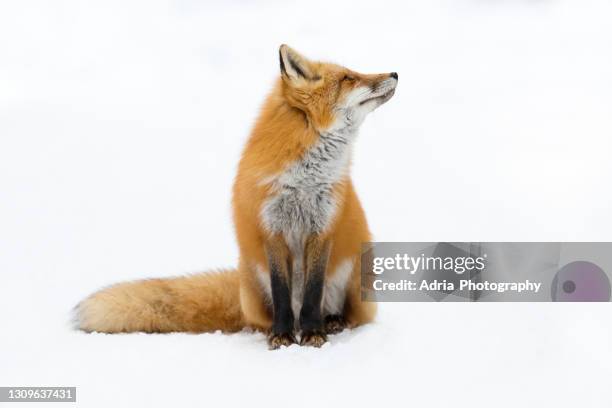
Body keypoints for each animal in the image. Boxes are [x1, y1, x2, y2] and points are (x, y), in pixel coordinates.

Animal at [75, 45, 396, 350]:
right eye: (348, 78)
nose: (394, 73)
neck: (303, 180)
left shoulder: (322, 228)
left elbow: (313, 292)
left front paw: (313, 333)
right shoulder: (271, 229)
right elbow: (281, 293)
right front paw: (282, 337)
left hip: (355, 281)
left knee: (347, 315)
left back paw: (331, 321)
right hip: (253, 282)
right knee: (263, 318)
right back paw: (280, 328)